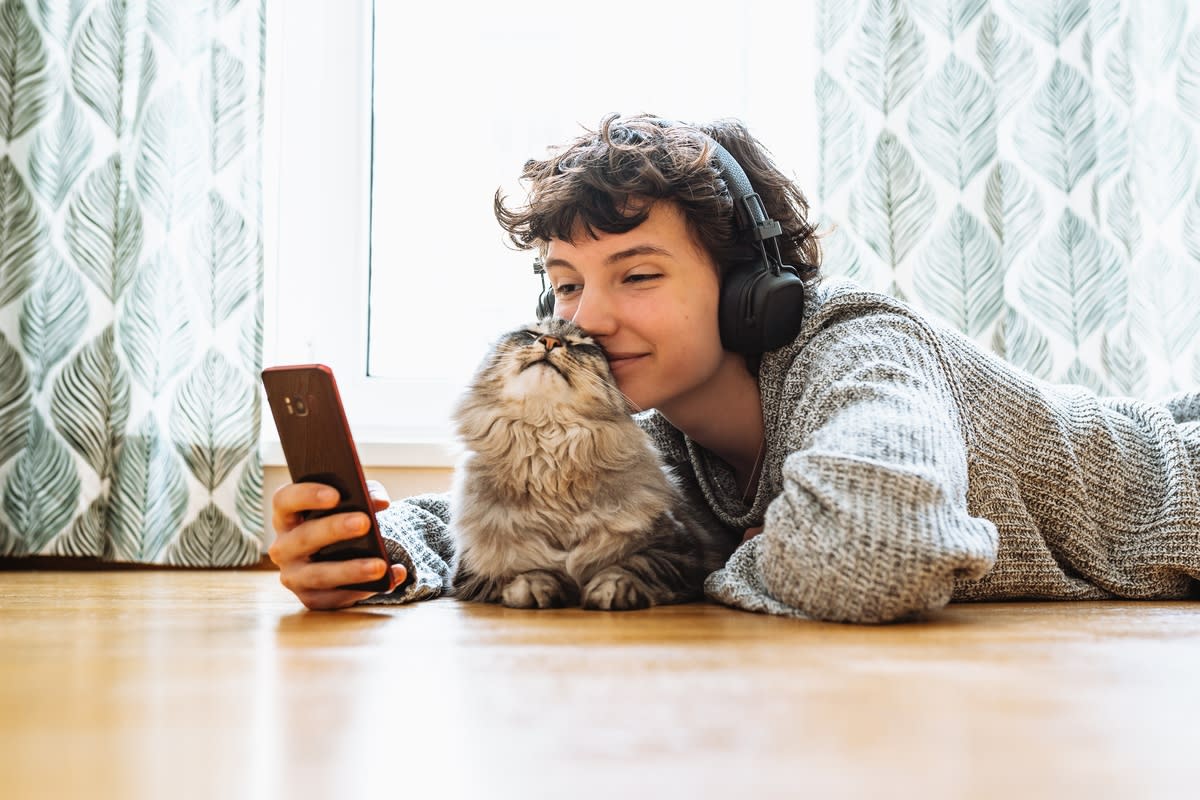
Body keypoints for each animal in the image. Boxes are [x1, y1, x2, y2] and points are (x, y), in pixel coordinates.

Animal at [451, 316, 739, 609]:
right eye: (532, 333)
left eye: (581, 345)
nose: (550, 341)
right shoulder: (472, 568)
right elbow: (526, 568)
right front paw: (534, 585)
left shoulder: (681, 550)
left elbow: (635, 565)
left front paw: (610, 588)